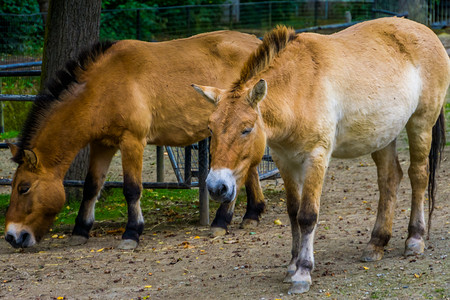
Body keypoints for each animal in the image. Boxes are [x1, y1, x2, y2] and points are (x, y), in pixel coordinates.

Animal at [4, 31, 264, 251]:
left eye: (23, 187)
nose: (12, 236)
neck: (104, 86)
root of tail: (256, 41)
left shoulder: (132, 141)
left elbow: (131, 189)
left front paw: (131, 233)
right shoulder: (102, 144)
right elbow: (91, 186)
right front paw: (80, 230)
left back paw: (222, 220)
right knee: (248, 167)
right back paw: (252, 214)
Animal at [193, 17, 450, 294]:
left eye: (246, 129)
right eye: (210, 128)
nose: (217, 187)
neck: (298, 89)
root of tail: (424, 30)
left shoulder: (316, 157)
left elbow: (307, 216)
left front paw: (303, 273)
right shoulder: (285, 161)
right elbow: (293, 212)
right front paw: (292, 266)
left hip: (420, 124)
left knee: (418, 176)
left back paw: (414, 239)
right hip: (384, 135)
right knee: (390, 179)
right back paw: (376, 243)